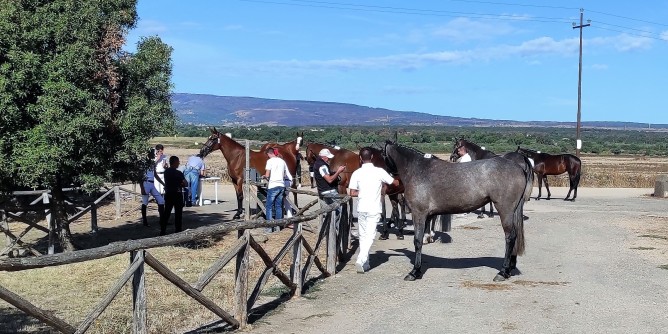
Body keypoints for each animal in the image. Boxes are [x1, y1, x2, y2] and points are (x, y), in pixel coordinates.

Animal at [380, 142, 532, 282]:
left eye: (381, 156)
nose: (385, 186)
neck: (418, 170)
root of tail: (518, 167)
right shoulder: (427, 215)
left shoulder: (419, 214)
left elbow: (417, 241)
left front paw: (414, 272)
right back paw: (509, 269)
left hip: (505, 210)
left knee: (510, 237)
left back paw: (503, 272)